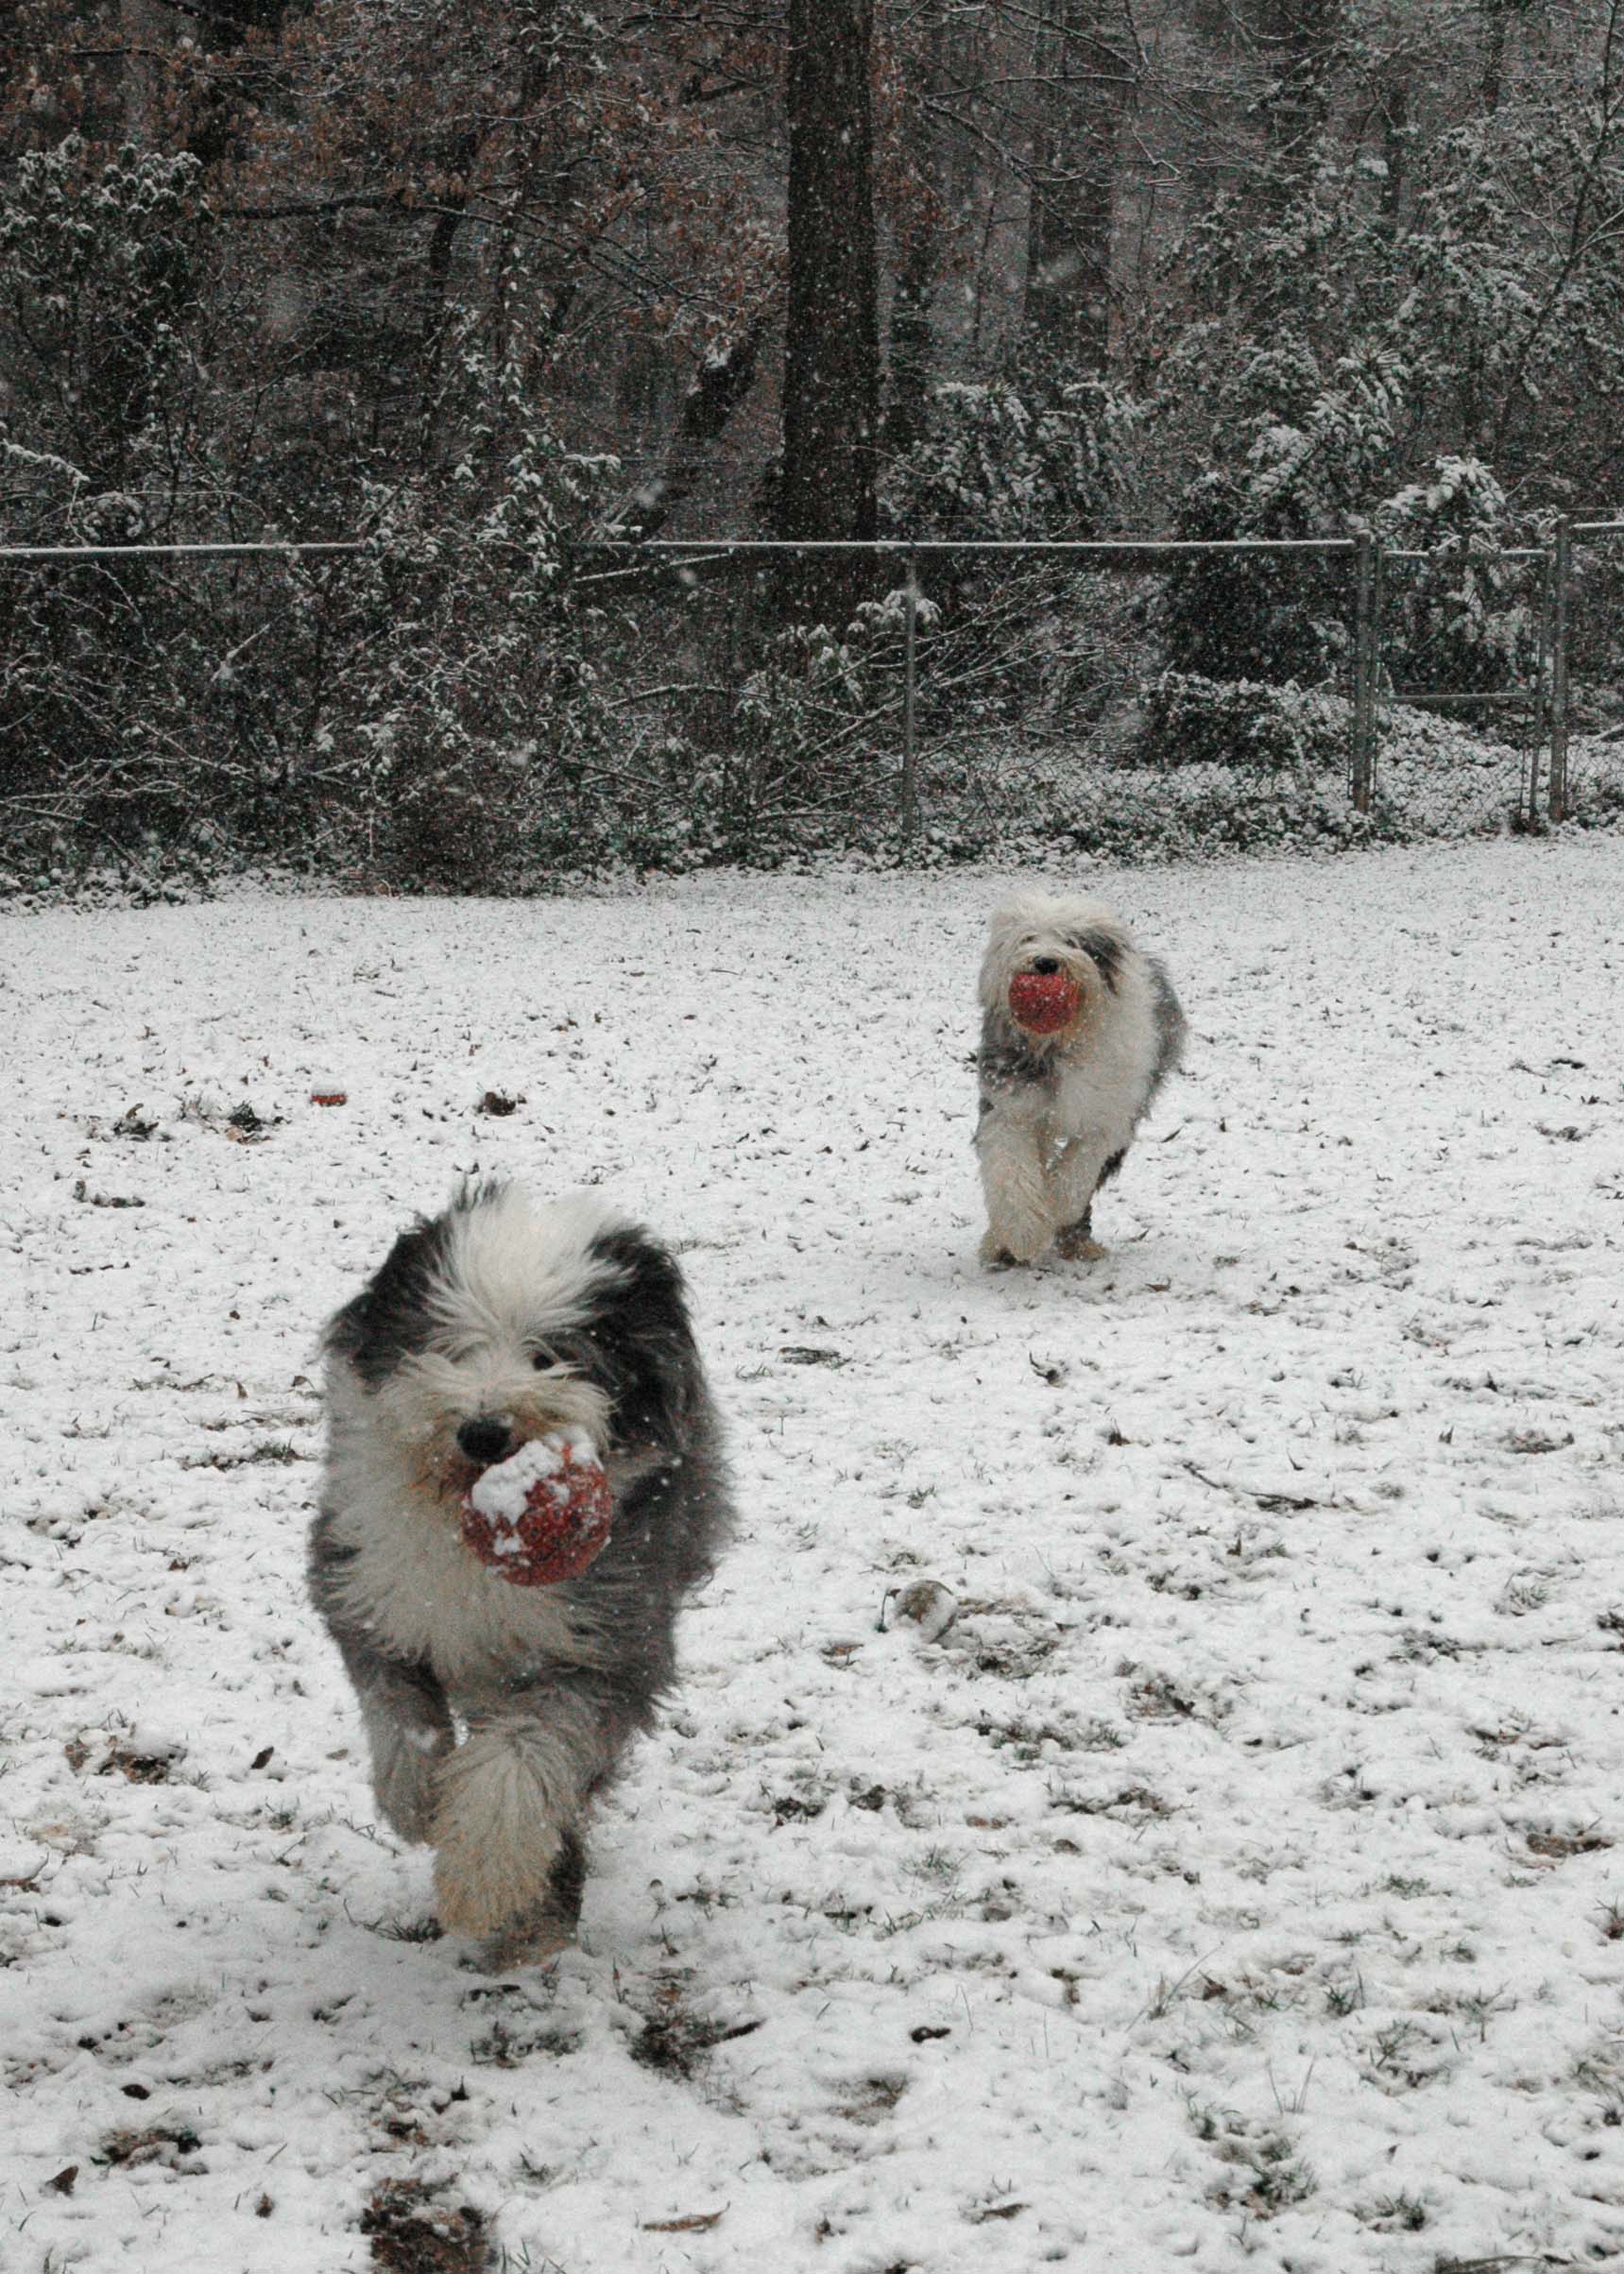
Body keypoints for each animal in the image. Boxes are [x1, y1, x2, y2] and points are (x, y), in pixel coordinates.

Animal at [309, 1182, 727, 1964]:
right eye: (451, 1344)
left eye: (551, 1356)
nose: (483, 1430)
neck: (472, 1544)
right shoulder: (364, 1586)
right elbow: (396, 1709)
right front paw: (416, 1800)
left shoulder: (607, 1643)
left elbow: (522, 1757)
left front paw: (483, 1878)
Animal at [968, 886, 1182, 1273]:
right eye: (1028, 937)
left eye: (1072, 941)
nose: (1045, 963)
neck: (1061, 1041)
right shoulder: (1011, 1105)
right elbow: (1011, 1169)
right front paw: (1024, 1233)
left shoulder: (1106, 1116)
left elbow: (1075, 1172)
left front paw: (1054, 1210)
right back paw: (999, 1243)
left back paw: (1077, 1240)